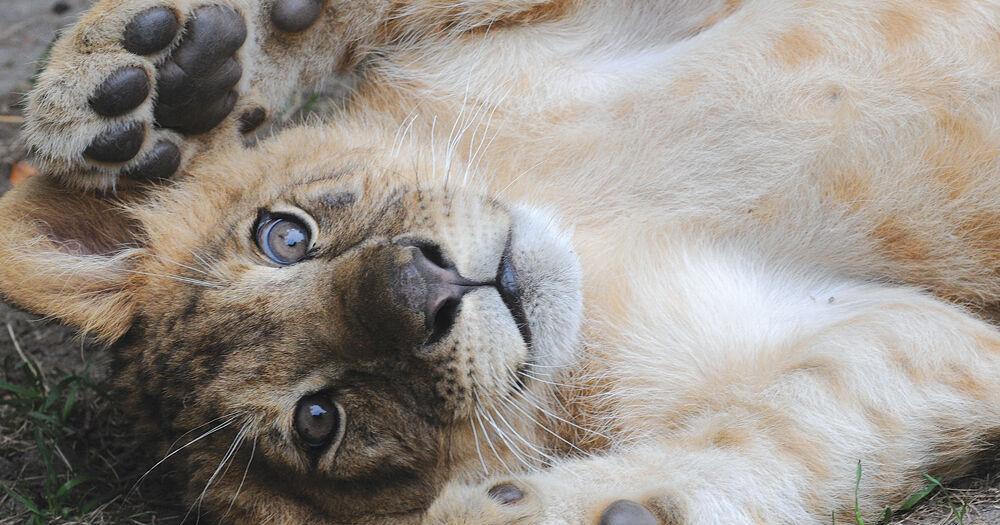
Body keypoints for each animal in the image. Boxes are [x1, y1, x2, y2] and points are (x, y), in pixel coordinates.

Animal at [1, 0, 1000, 523]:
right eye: (319, 419)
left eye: (284, 236)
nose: (426, 288)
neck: (587, 222)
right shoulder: (925, 335)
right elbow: (810, 423)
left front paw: (138, 79)